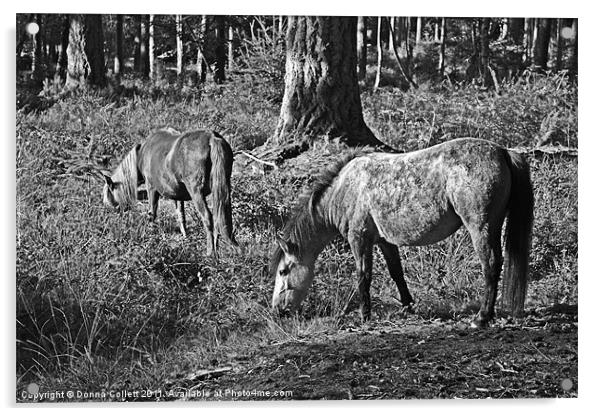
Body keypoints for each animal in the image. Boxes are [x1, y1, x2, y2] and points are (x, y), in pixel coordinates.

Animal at [102, 128, 236, 255]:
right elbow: (181, 216)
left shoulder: (151, 188)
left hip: (196, 192)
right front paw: (185, 237)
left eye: (108, 194)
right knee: (222, 216)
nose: (113, 215)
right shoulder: (178, 194)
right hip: (222, 188)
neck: (142, 154)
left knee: (208, 217)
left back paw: (210, 252)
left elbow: (152, 213)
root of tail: (211, 138)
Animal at [270, 139, 532, 328]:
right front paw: (408, 307)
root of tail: (503, 151)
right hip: (493, 226)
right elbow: (397, 273)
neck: (344, 188)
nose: (277, 311)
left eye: (283, 271)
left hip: (480, 227)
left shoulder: (360, 240)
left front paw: (365, 315)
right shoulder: (385, 242)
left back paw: (482, 317)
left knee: (490, 265)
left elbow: (363, 276)